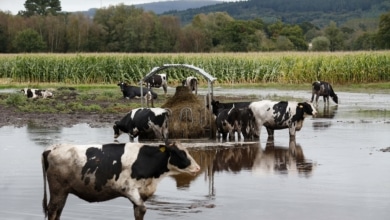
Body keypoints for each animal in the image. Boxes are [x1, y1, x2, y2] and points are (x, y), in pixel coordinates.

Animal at [42, 141, 200, 220]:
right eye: (178, 153)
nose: (198, 168)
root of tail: (52, 148)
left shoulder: (141, 193)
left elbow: (138, 212)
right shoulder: (129, 189)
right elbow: (142, 209)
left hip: (63, 191)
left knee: (59, 210)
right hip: (57, 189)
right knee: (52, 210)